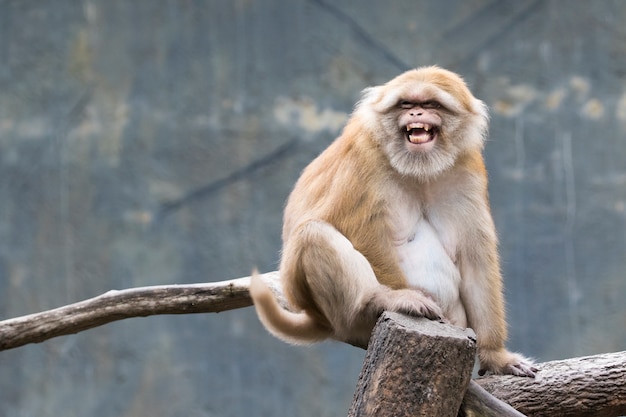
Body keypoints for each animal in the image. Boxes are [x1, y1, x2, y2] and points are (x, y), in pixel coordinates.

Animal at [249, 66, 536, 376]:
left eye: (431, 104)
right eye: (406, 103)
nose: (416, 114)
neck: (419, 169)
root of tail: (322, 320)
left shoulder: (467, 168)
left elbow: (475, 260)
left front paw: (496, 356)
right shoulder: (364, 155)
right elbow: (362, 232)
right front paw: (398, 297)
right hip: (344, 318)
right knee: (312, 234)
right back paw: (378, 300)